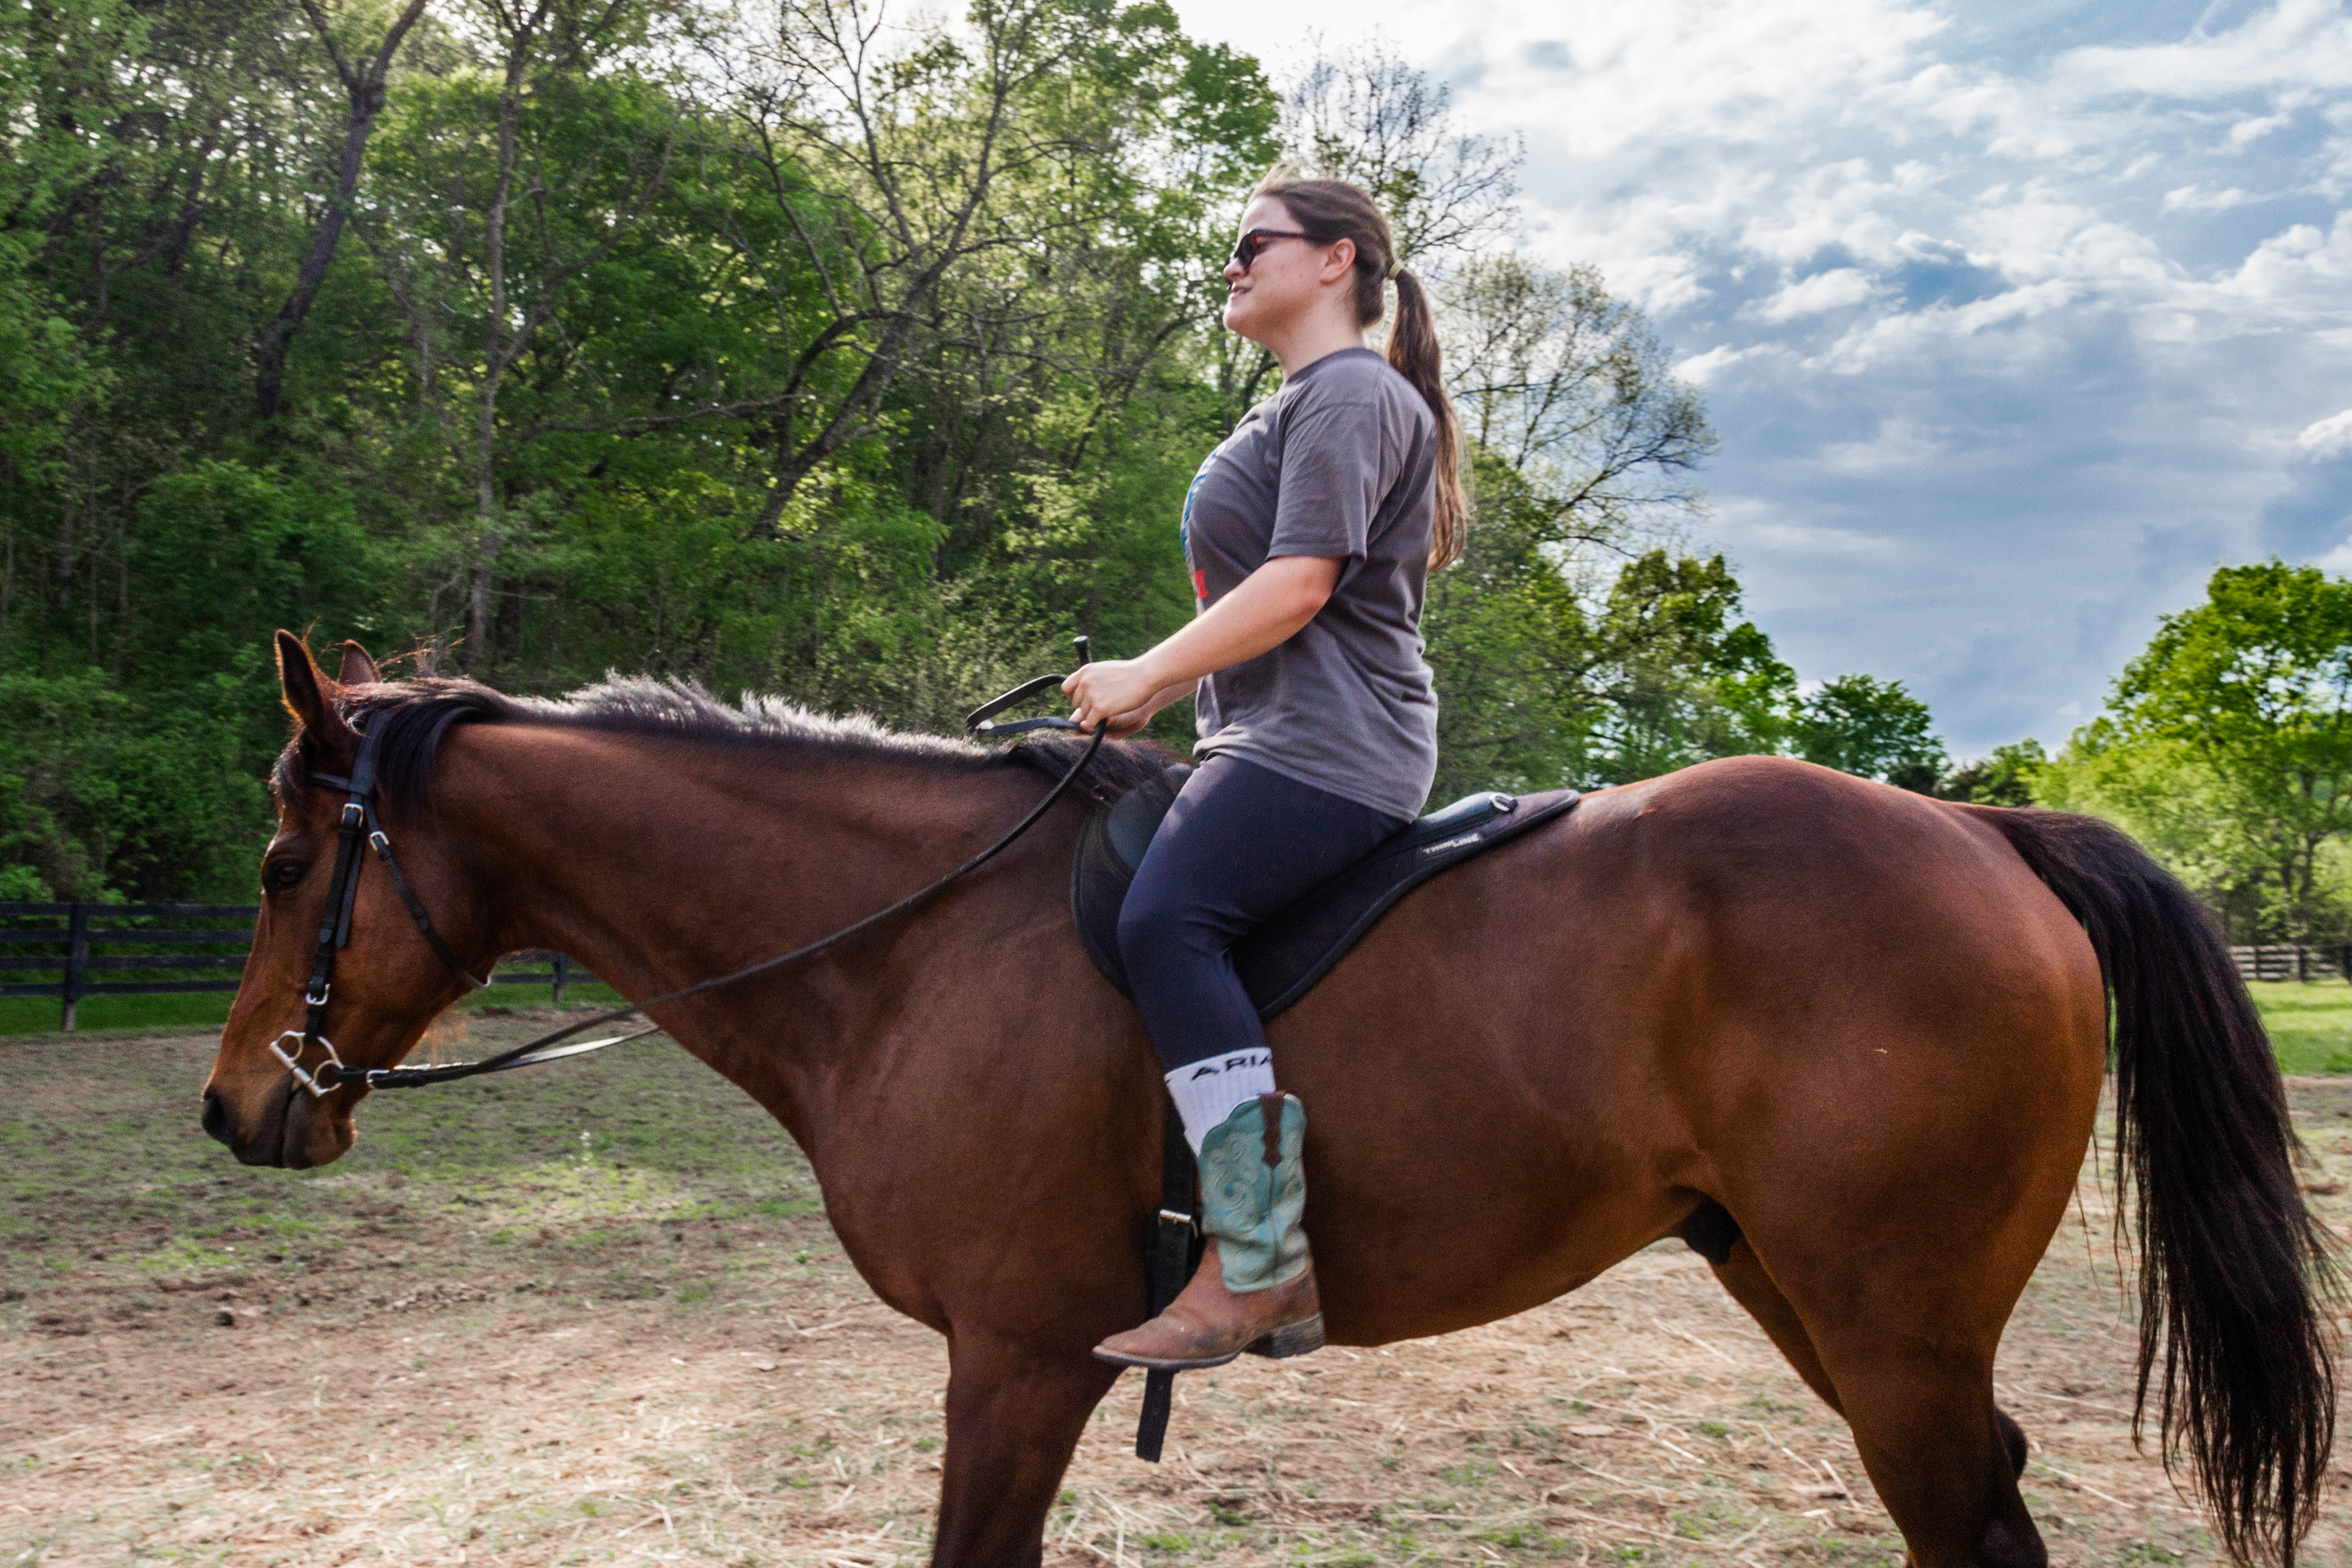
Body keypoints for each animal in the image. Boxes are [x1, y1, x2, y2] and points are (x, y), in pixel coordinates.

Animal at [199, 633, 2338, 1568]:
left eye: (290, 866)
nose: (235, 1110)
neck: (911, 940)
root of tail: (1981, 831)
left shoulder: (1018, 1360)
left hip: (1889, 1326)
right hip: (1810, 1293)